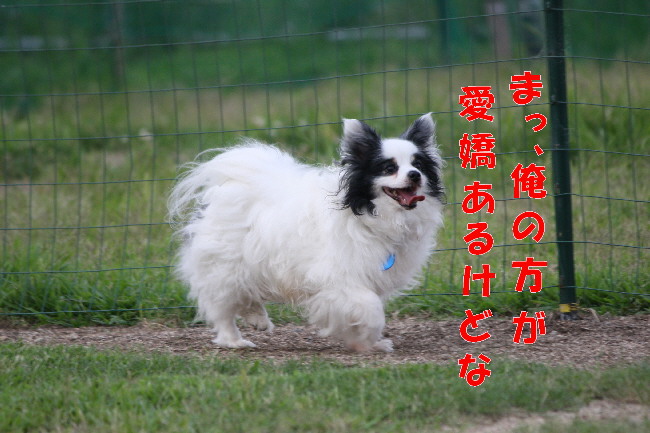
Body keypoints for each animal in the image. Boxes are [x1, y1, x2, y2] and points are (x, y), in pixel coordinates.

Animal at [168, 113, 444, 352]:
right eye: (389, 168)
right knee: (222, 305)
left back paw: (257, 318)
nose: (414, 175)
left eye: (418, 165)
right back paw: (234, 340)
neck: (370, 215)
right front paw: (368, 338)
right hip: (226, 265)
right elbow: (371, 309)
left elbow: (361, 310)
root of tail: (228, 184)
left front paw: (365, 343)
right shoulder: (340, 279)